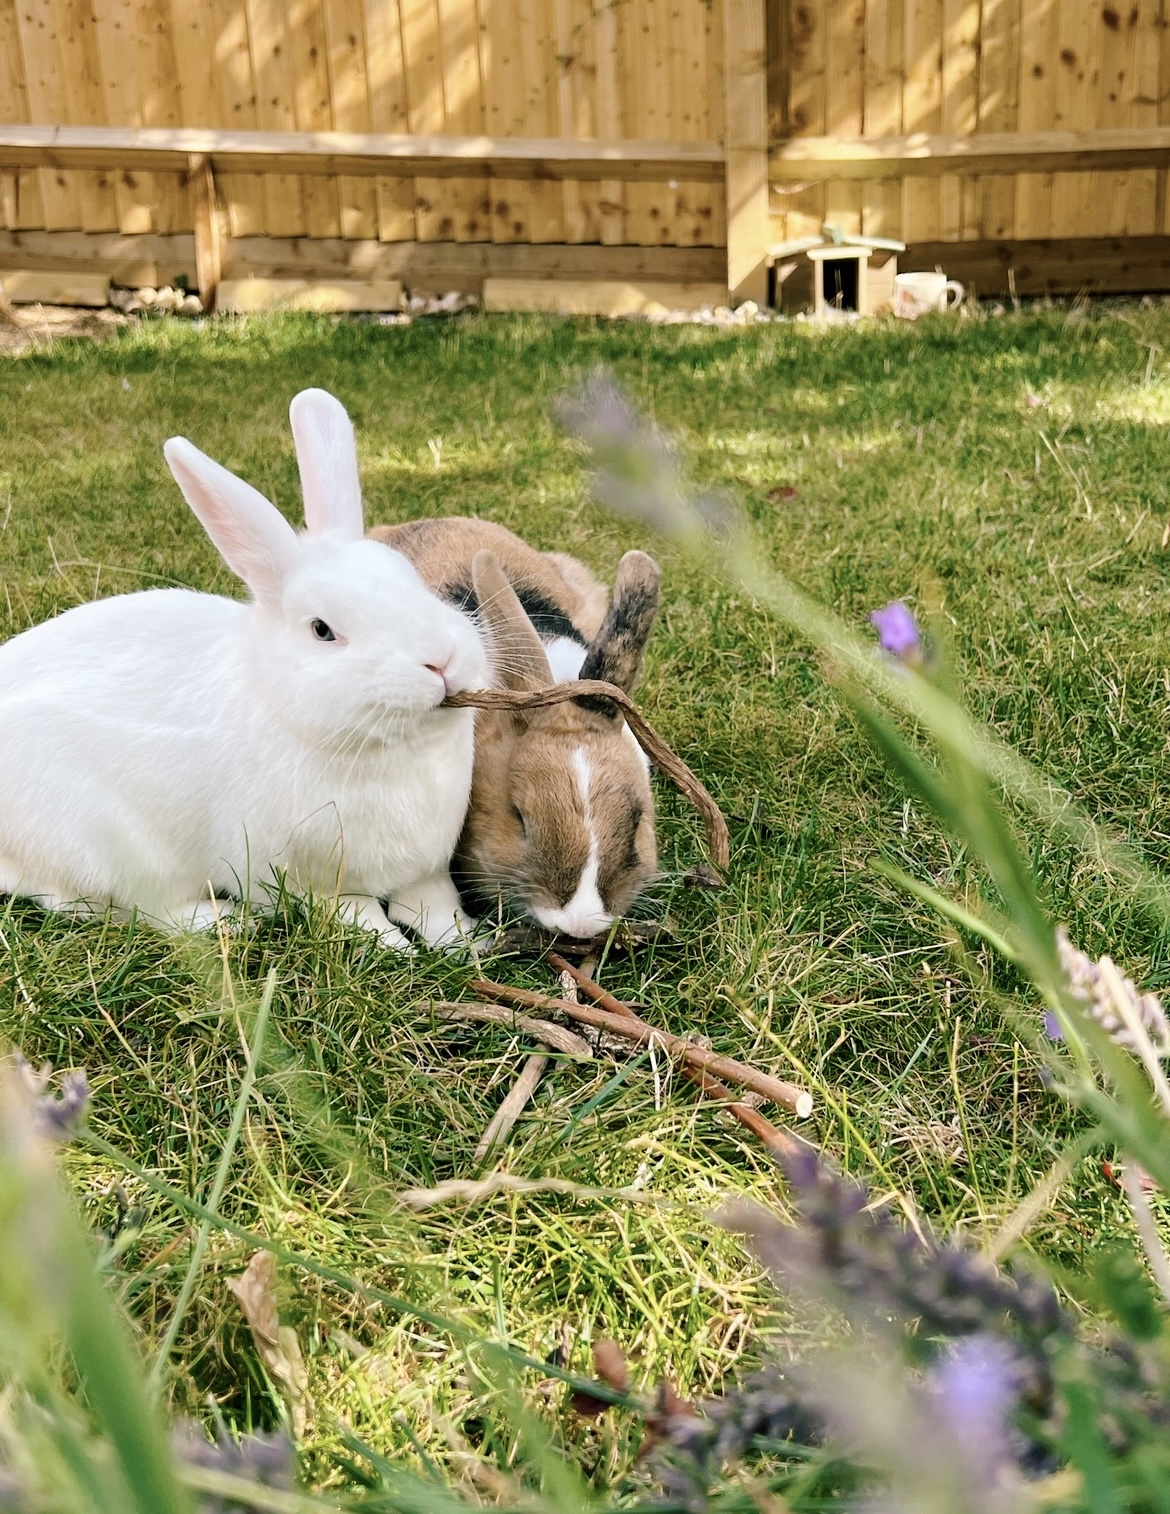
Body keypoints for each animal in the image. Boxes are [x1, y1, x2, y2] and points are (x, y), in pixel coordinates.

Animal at [0, 387, 487, 944]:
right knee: (123, 908)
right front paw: (397, 949)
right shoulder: (312, 880)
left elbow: (436, 907)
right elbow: (359, 916)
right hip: (117, 853)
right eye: (322, 629)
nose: (441, 660)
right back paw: (222, 921)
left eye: (408, 576)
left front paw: (466, 943)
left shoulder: (427, 871)